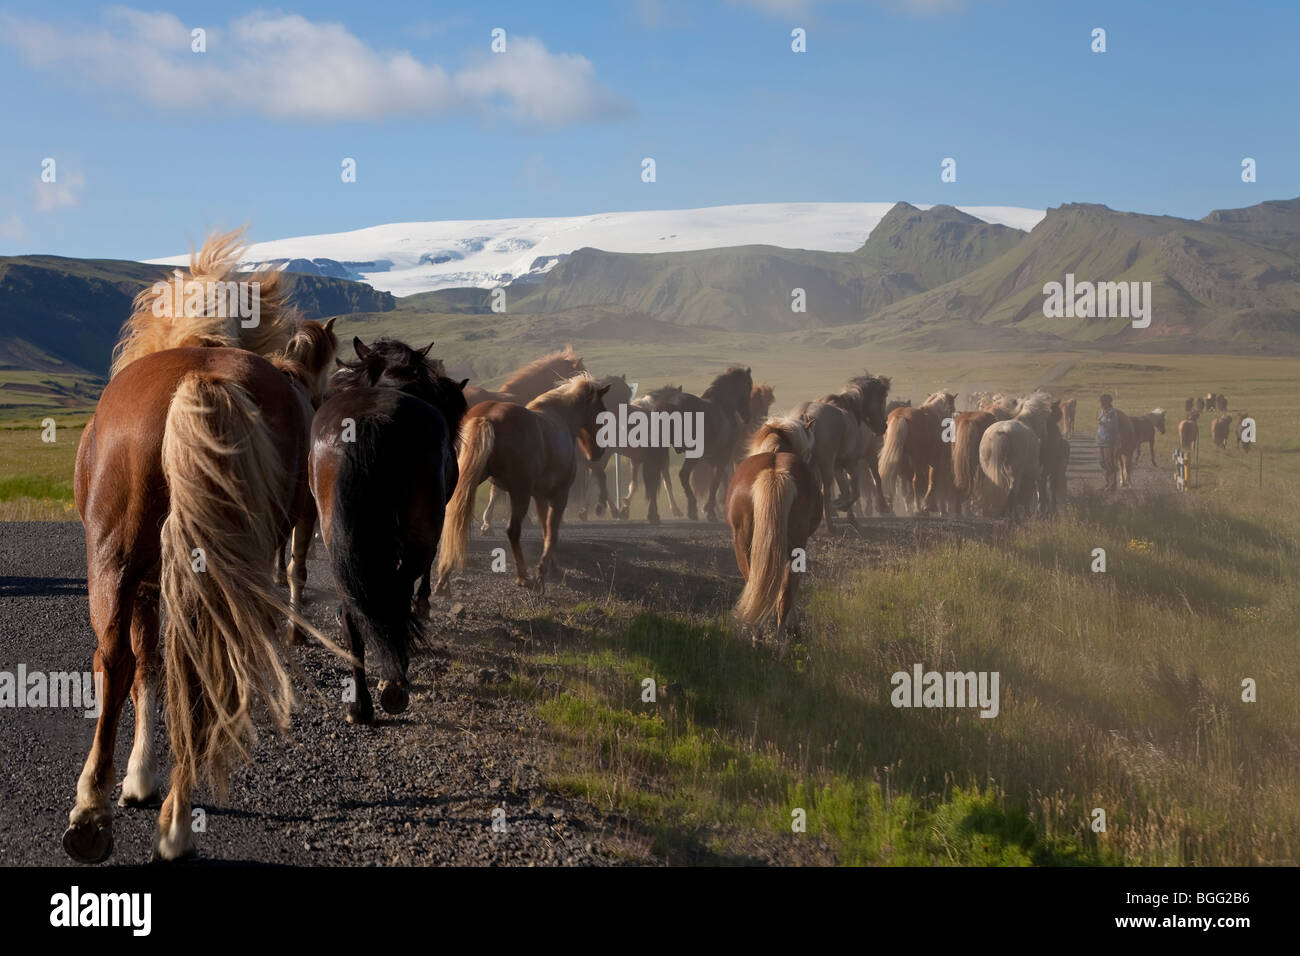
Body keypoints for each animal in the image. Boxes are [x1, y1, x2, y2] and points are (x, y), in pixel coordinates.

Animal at [65, 231, 335, 868]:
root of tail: (200, 378)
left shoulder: (140, 580)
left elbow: (142, 667)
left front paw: (138, 778)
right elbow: (151, 667)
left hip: (118, 563)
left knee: (127, 664)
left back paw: (110, 815)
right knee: (191, 674)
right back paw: (158, 822)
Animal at [310, 340, 470, 723]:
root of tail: (371, 421)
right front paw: (423, 606)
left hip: (338, 540)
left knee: (355, 612)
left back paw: (360, 705)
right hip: (417, 534)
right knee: (396, 592)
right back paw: (394, 683)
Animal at [436, 374, 608, 590]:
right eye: (601, 413)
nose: (598, 453)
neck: (561, 418)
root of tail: (486, 416)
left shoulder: (540, 496)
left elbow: (545, 529)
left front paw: (553, 567)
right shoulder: (559, 495)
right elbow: (553, 532)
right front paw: (542, 569)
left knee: (453, 518)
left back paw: (444, 575)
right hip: (520, 494)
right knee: (512, 530)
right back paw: (523, 576)